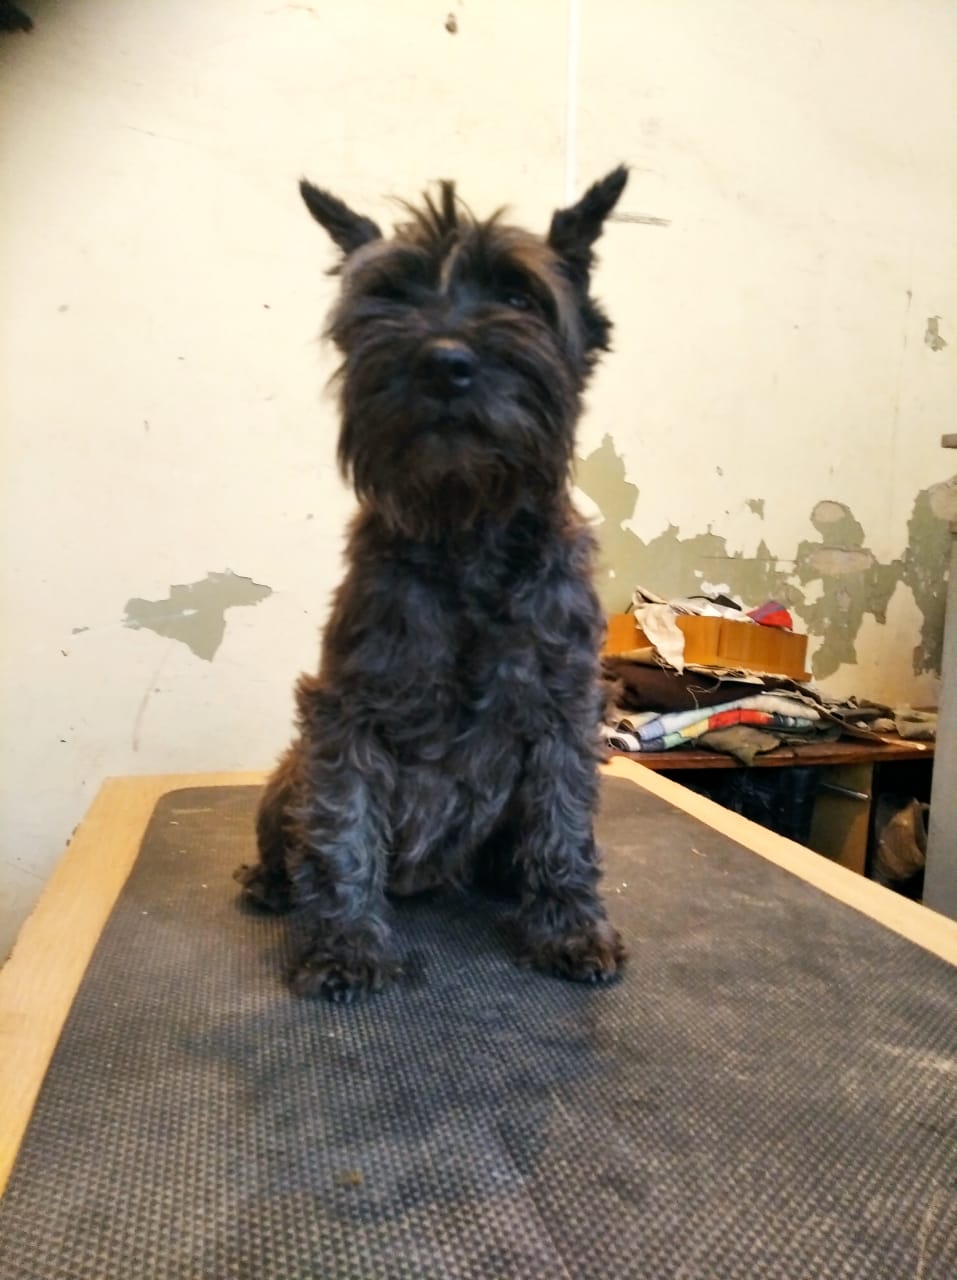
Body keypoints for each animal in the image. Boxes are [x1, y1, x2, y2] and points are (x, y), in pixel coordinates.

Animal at [235, 166, 629, 1001]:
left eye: (519, 296)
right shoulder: (346, 714)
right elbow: (343, 834)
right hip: (288, 774)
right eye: (389, 296)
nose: (443, 363)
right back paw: (270, 883)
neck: (465, 523)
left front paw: (569, 928)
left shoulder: (563, 711)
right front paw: (346, 945)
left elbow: (562, 824)